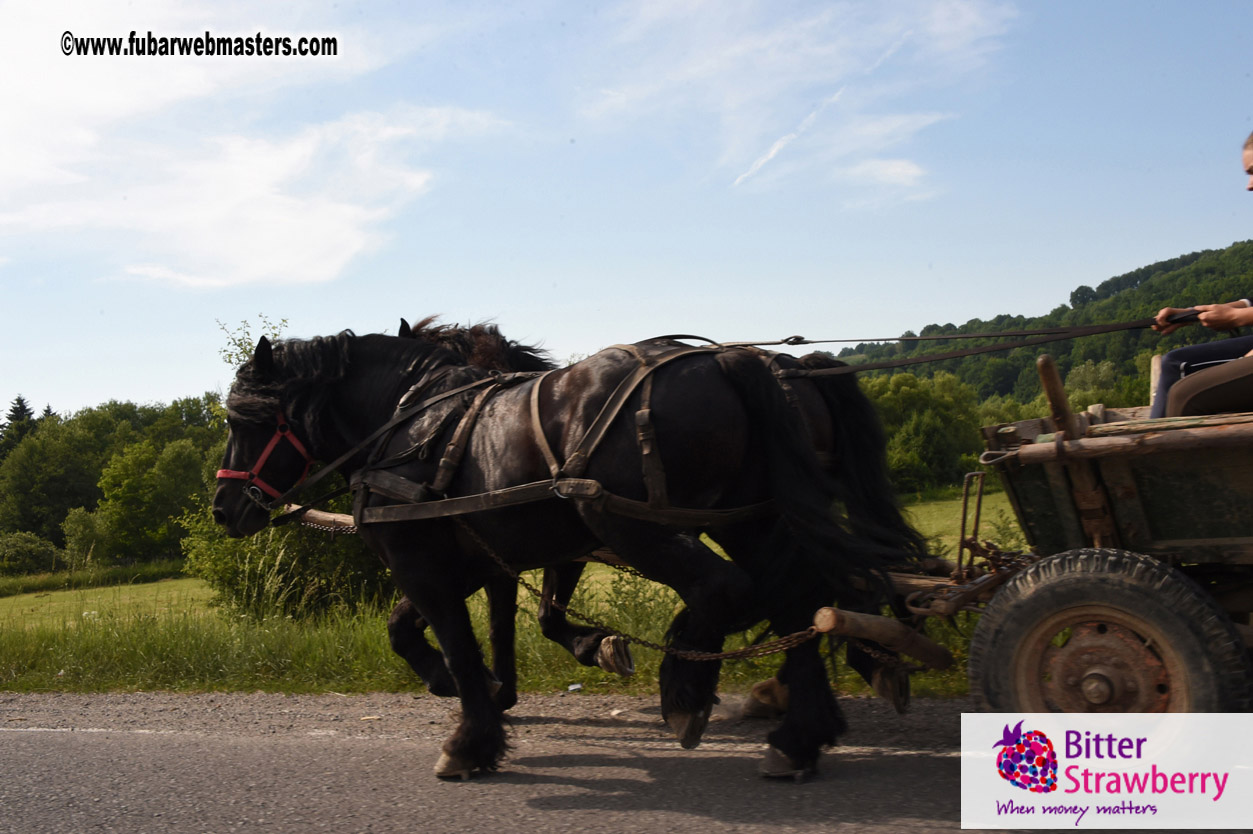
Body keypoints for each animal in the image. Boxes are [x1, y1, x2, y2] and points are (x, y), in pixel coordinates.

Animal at [218, 328, 912, 776]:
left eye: (243, 421)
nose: (224, 510)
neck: (411, 424)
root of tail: (738, 363)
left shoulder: (428, 565)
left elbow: (459, 642)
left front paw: (471, 736)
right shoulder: (483, 562)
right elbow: (446, 627)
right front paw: (488, 688)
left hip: (637, 523)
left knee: (731, 590)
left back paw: (688, 688)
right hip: (751, 515)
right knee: (799, 597)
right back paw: (799, 734)